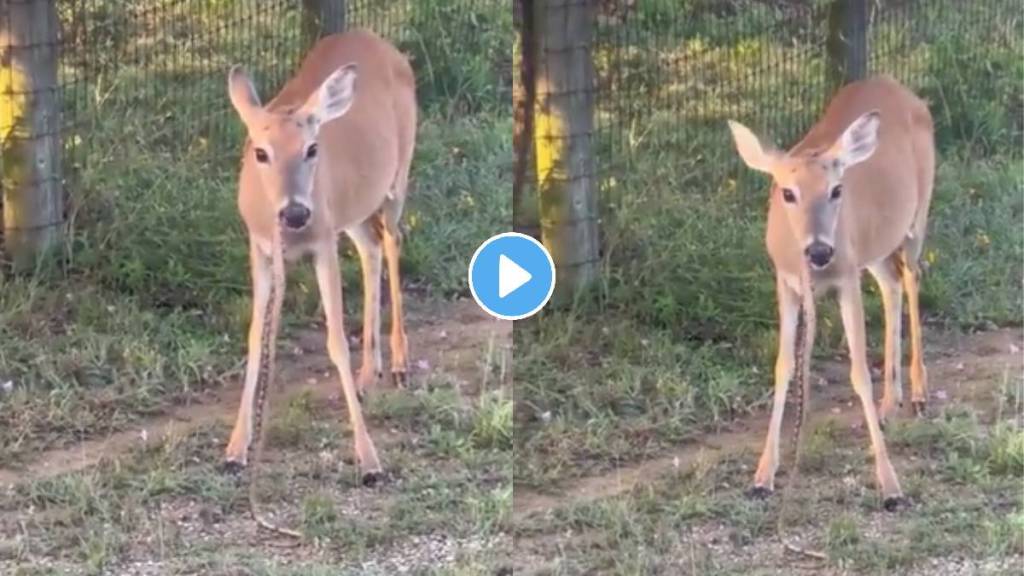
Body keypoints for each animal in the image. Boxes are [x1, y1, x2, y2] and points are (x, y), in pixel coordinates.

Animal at [222, 29, 417, 489]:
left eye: (312, 148)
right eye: (260, 152)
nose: (295, 213)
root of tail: (380, 41)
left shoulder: (323, 243)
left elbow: (336, 342)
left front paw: (369, 460)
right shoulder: (261, 248)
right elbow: (257, 338)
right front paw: (236, 449)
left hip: (397, 175)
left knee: (394, 239)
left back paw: (399, 363)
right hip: (353, 209)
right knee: (371, 247)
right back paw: (368, 374)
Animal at [727, 75, 935, 510]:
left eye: (837, 190)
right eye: (787, 192)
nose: (820, 250)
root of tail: (898, 85)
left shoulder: (845, 278)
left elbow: (858, 372)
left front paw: (890, 486)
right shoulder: (787, 282)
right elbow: (786, 366)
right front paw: (764, 474)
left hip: (916, 216)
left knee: (911, 278)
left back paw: (919, 393)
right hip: (873, 248)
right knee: (891, 283)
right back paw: (890, 404)